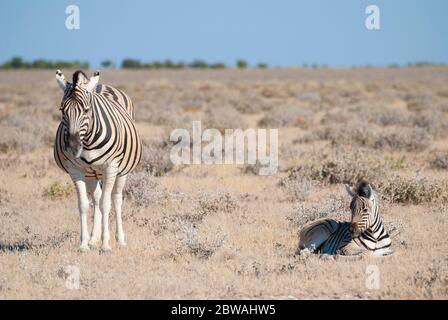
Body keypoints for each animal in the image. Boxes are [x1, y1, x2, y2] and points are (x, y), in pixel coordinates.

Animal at [54, 70, 142, 252]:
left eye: (86, 110)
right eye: (62, 110)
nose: (73, 147)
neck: (87, 142)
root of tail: (101, 85)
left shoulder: (111, 167)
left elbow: (106, 204)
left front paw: (106, 245)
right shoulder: (75, 170)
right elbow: (83, 204)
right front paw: (84, 244)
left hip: (121, 171)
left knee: (116, 199)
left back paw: (120, 240)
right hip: (91, 174)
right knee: (96, 197)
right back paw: (94, 239)